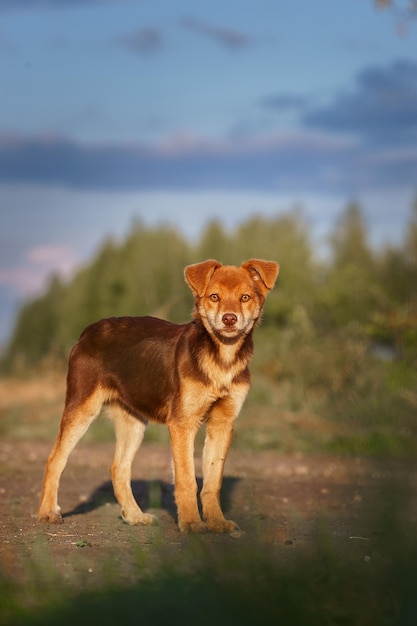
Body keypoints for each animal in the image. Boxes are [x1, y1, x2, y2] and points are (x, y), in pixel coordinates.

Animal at [38, 258, 280, 532]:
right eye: (214, 297)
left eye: (245, 297)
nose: (229, 319)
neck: (222, 357)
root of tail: (89, 330)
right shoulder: (182, 424)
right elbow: (187, 480)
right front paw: (192, 523)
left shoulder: (222, 423)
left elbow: (212, 482)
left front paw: (217, 522)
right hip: (82, 407)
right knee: (55, 460)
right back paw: (48, 512)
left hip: (133, 422)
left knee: (118, 469)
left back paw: (135, 516)